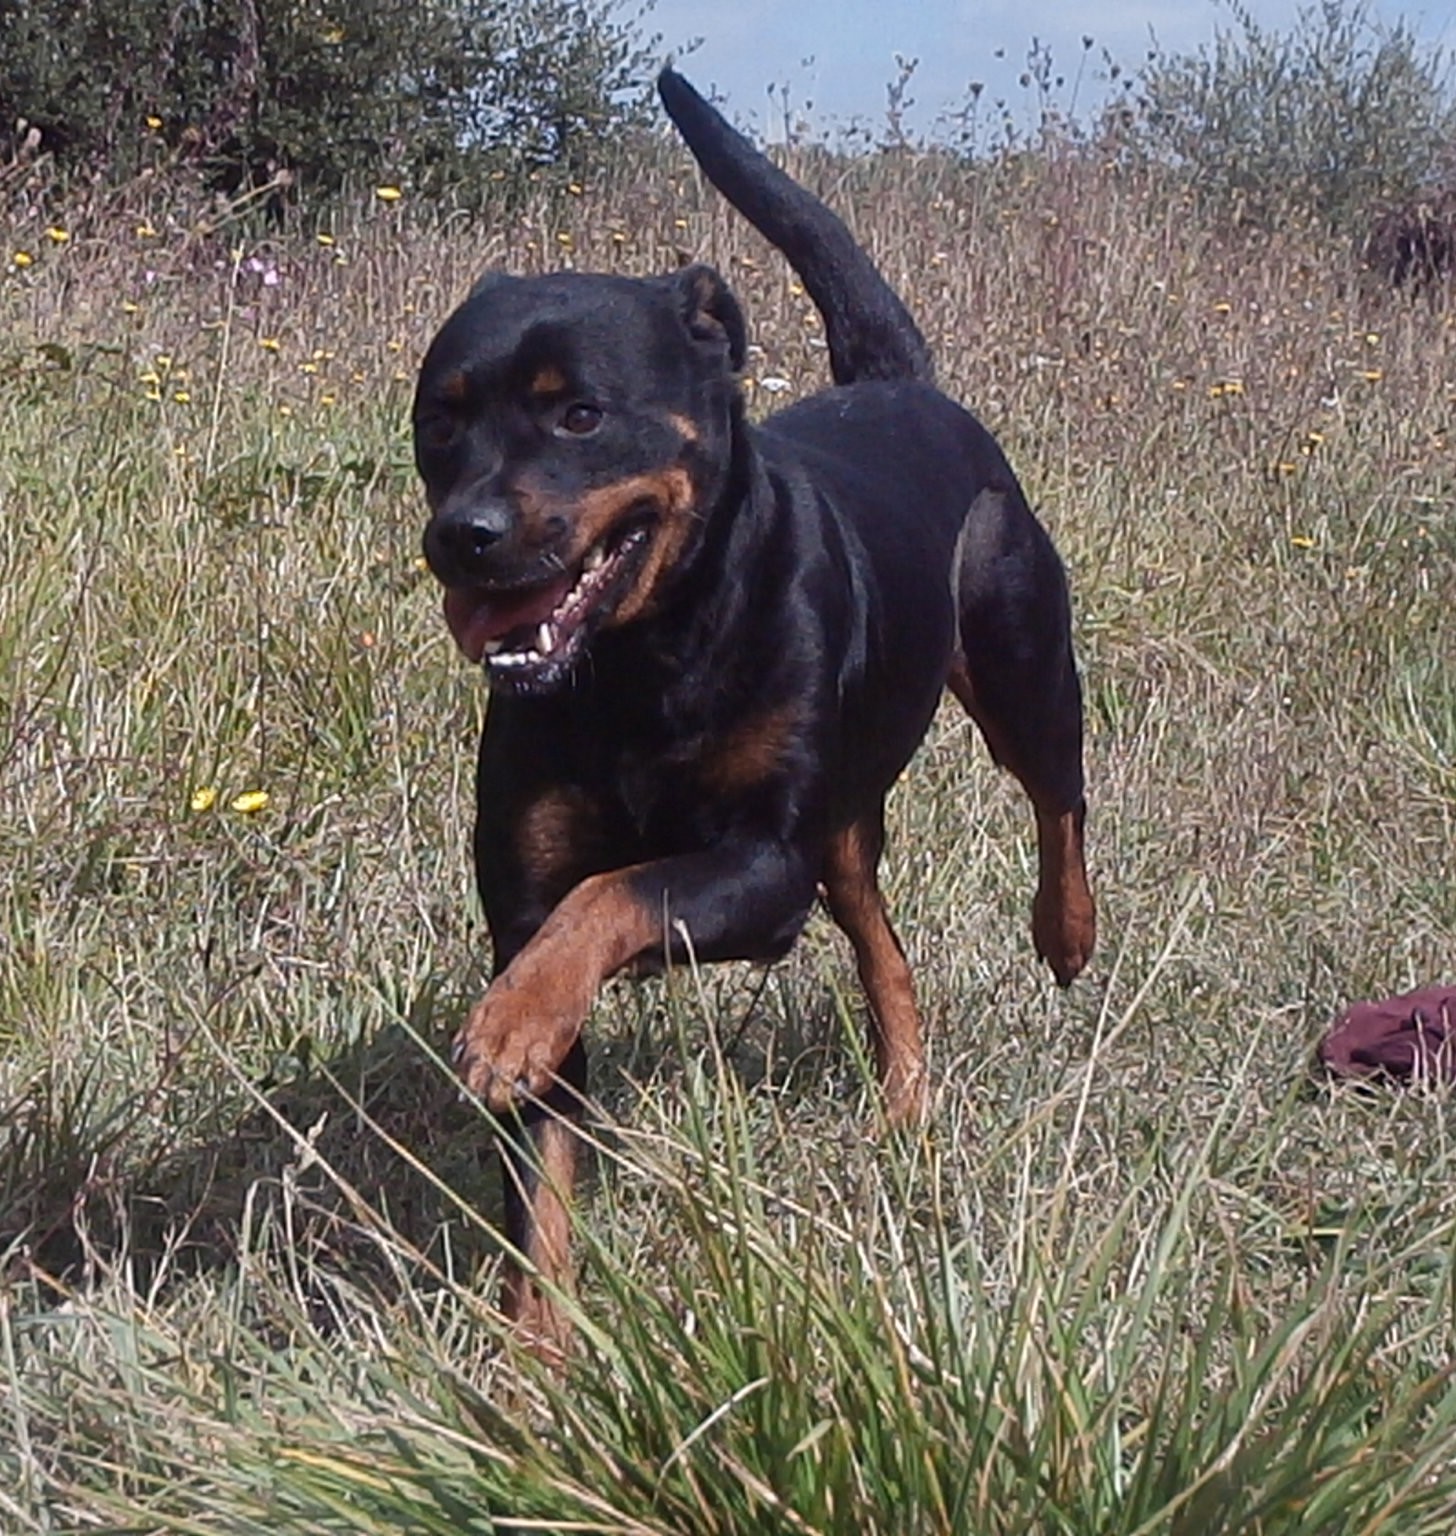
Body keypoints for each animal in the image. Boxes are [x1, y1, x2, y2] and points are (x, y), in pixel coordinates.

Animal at [413, 69, 1095, 1354]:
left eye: (579, 415)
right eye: (441, 419)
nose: (461, 536)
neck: (642, 663)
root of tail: (898, 383)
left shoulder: (759, 867)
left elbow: (615, 893)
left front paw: (508, 1022)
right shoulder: (538, 889)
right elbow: (542, 1174)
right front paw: (534, 1351)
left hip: (1018, 661)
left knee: (1058, 796)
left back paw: (1066, 933)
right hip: (841, 831)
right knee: (884, 949)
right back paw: (904, 1103)